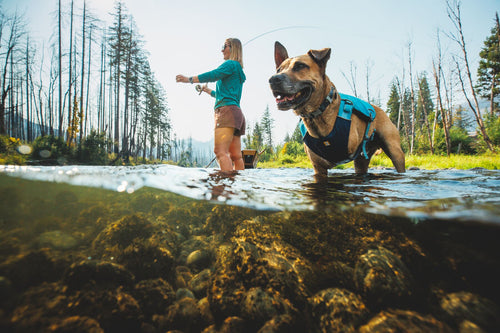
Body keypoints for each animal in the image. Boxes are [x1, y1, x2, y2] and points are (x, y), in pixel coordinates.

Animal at [268, 41, 404, 176]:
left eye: (300, 66)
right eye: (278, 69)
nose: (273, 79)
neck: (317, 114)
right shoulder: (318, 168)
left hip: (395, 153)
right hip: (361, 161)